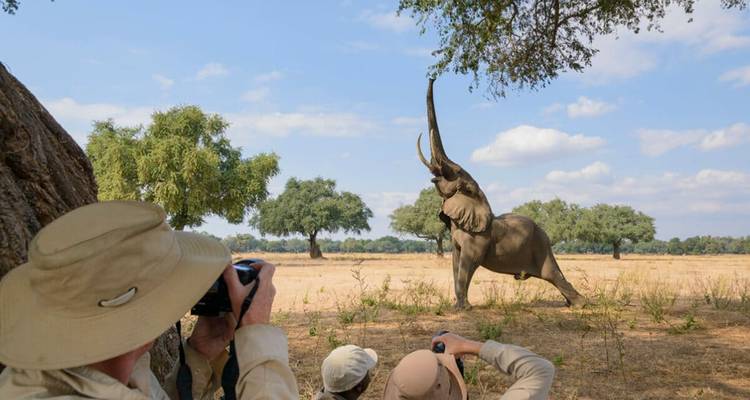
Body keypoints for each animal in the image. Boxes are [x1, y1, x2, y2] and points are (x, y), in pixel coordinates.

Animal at [417, 79, 585, 309]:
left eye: (465, 187)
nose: (433, 77)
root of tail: (544, 233)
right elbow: (456, 264)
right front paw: (458, 307)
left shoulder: (478, 240)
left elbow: (469, 264)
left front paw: (464, 309)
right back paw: (570, 304)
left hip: (541, 247)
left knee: (552, 274)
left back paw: (580, 304)